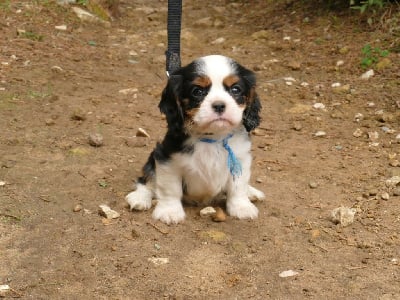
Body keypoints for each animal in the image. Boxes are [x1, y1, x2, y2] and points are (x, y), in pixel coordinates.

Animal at [126, 55, 266, 224]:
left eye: (235, 89)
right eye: (197, 91)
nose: (219, 105)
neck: (212, 137)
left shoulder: (240, 158)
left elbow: (237, 187)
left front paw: (241, 207)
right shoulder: (166, 159)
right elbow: (170, 189)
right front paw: (170, 211)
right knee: (145, 181)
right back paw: (139, 198)